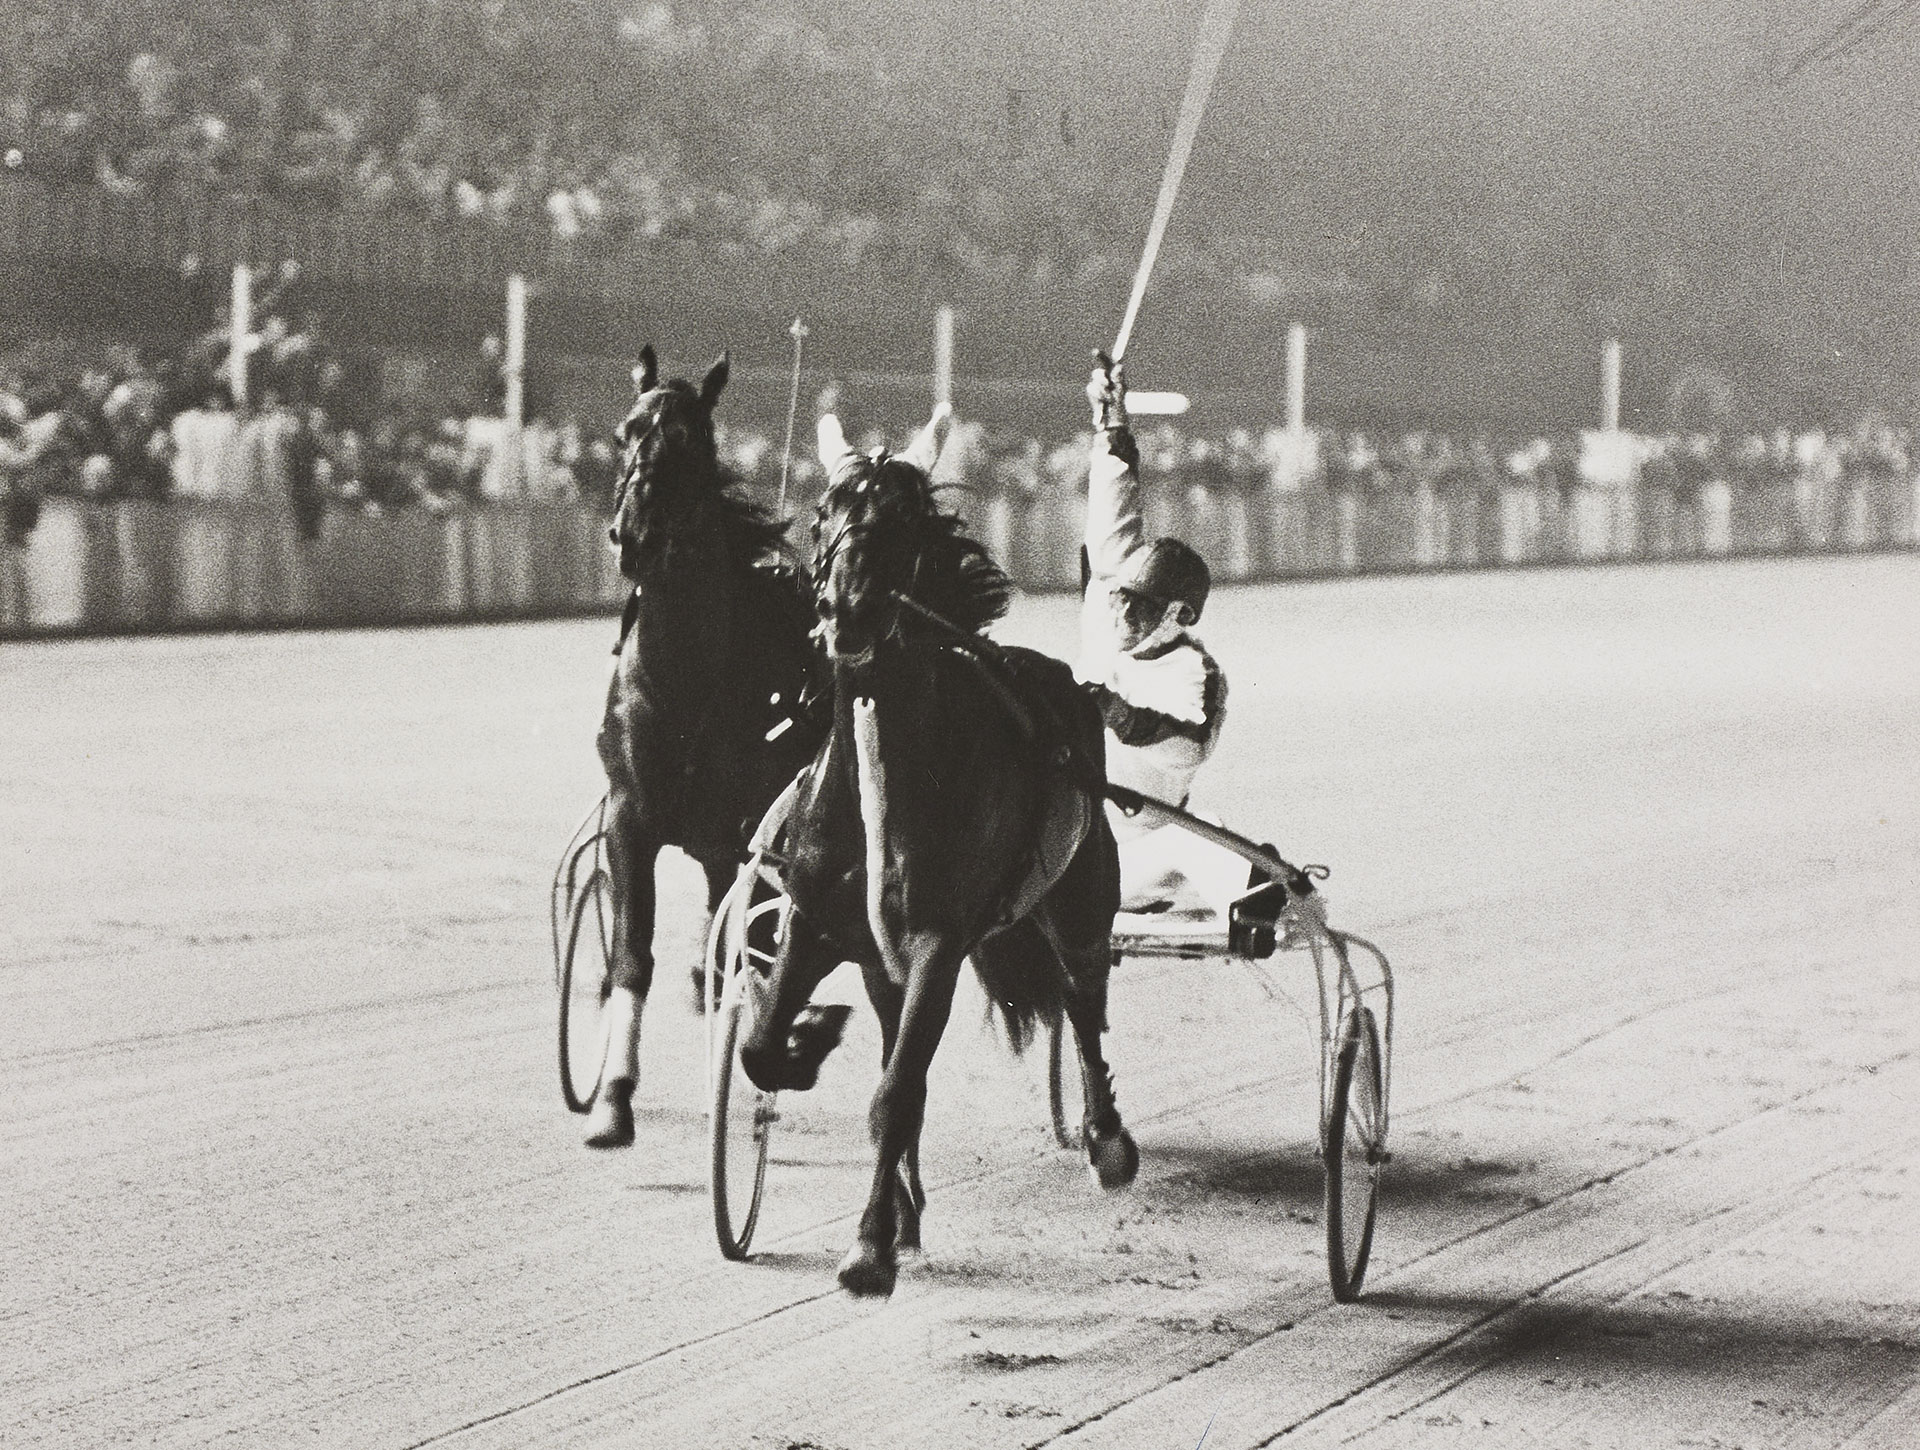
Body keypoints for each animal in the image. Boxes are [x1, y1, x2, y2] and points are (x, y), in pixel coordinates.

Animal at [583, 345, 825, 1152]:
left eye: (693, 441)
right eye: (625, 432)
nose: (634, 534)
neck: (687, 679)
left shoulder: (740, 833)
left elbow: (742, 946)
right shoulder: (630, 816)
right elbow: (633, 954)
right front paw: (613, 1097)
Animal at [737, 410, 1136, 1305]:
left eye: (901, 525)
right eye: (823, 516)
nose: (846, 611)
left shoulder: (937, 945)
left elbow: (896, 1091)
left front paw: (868, 1249)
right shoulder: (820, 920)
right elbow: (763, 1046)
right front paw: (806, 1043)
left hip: (1078, 900)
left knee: (1085, 1000)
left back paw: (1107, 1141)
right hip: (884, 961)